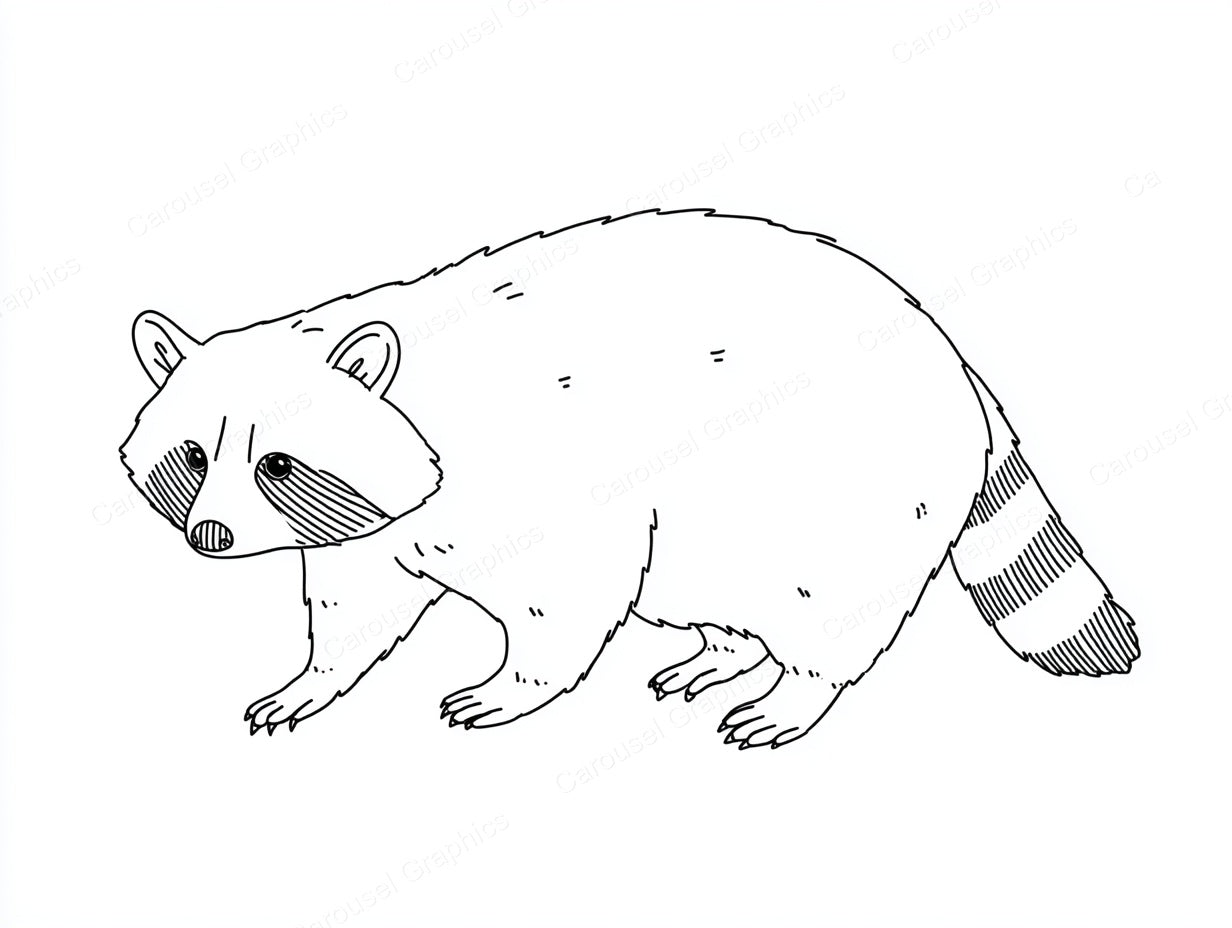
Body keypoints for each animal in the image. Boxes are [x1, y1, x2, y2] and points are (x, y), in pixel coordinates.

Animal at [120, 208, 1140, 747]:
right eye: (194, 457)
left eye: (277, 461)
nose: (211, 537)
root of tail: (951, 354)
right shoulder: (363, 528)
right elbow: (353, 601)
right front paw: (315, 677)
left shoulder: (546, 475)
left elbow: (563, 599)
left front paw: (515, 684)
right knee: (695, 582)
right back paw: (719, 652)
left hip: (842, 488)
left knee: (826, 608)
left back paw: (794, 686)